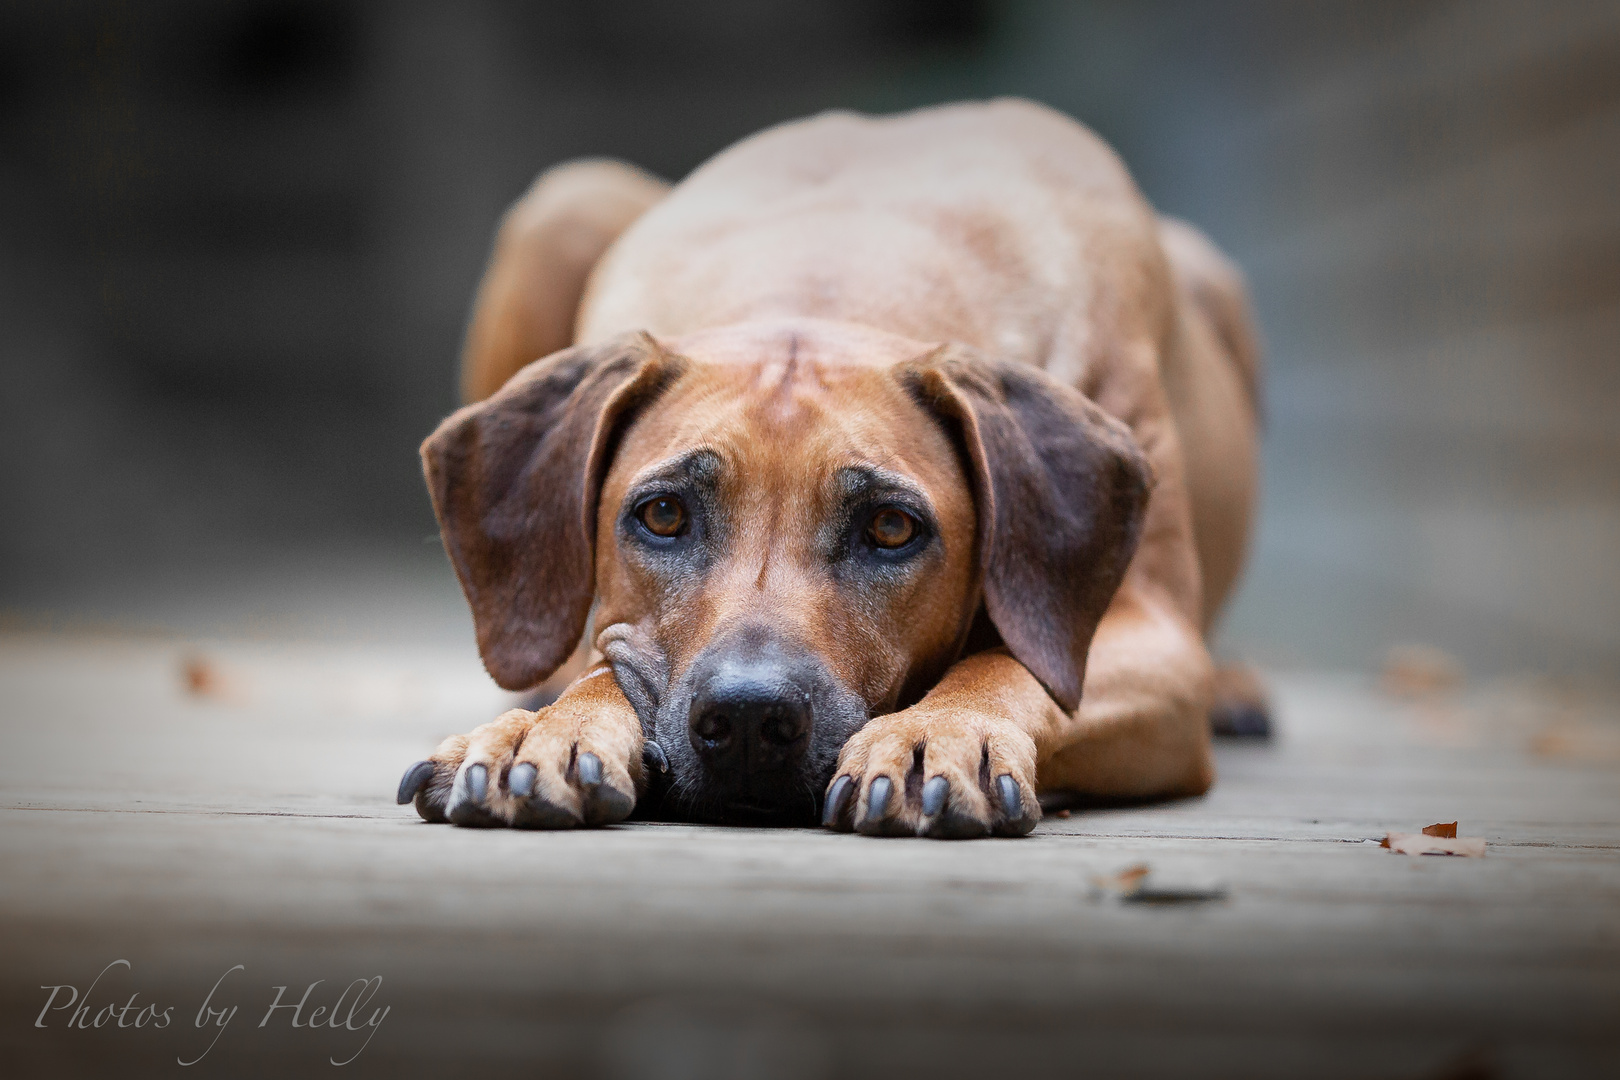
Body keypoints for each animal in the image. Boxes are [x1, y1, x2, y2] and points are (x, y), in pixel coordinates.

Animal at [395, 101, 1263, 841]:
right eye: (663, 515)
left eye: (892, 528)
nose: (749, 720)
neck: (826, 272)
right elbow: (610, 661)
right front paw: (545, 729)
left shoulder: (1154, 635)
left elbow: (1016, 658)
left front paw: (940, 732)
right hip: (566, 203)